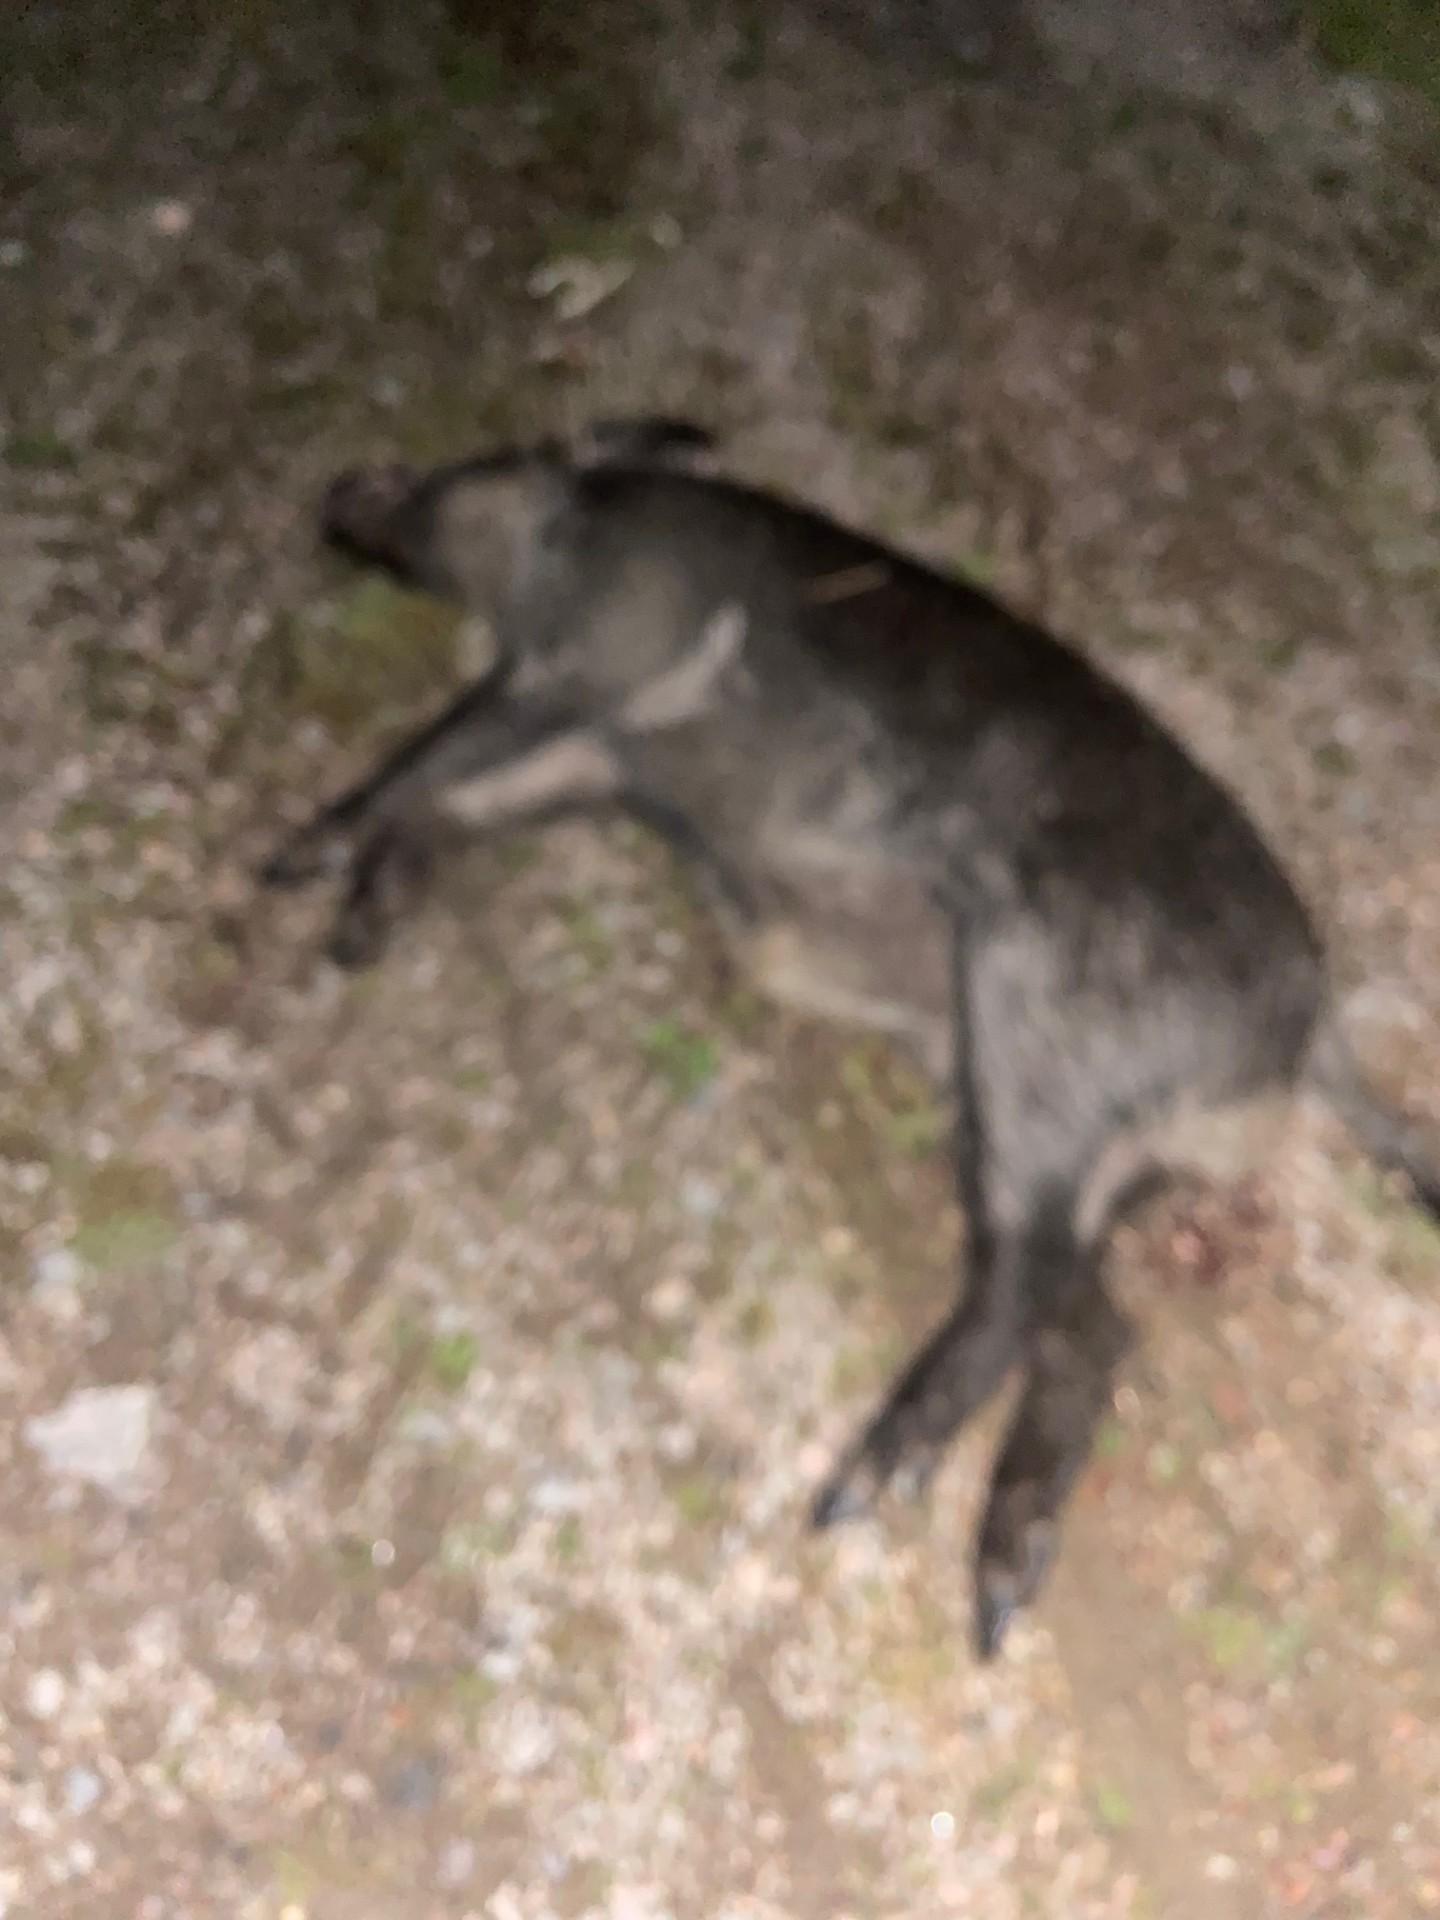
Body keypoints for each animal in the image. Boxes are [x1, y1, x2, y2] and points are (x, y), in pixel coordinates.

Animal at [260, 415, 1439, 1657]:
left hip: (1045, 1038)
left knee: (1022, 1289)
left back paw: (849, 1498)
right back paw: (992, 1601)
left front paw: (289, 864)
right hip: (1048, 1126)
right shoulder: (605, 759)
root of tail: (1308, 1032)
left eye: (487, 457)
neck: (571, 532)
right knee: (1094, 1323)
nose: (343, 487)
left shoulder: (580, 671)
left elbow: (427, 761)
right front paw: (354, 930)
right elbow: (459, 805)